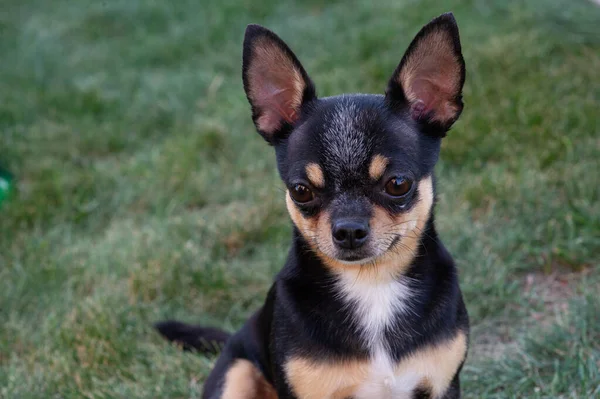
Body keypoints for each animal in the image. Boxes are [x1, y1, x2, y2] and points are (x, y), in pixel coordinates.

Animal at [157, 12, 472, 399]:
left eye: (398, 184)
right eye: (301, 191)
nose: (348, 230)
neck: (373, 284)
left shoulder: (442, 385)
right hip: (236, 374)